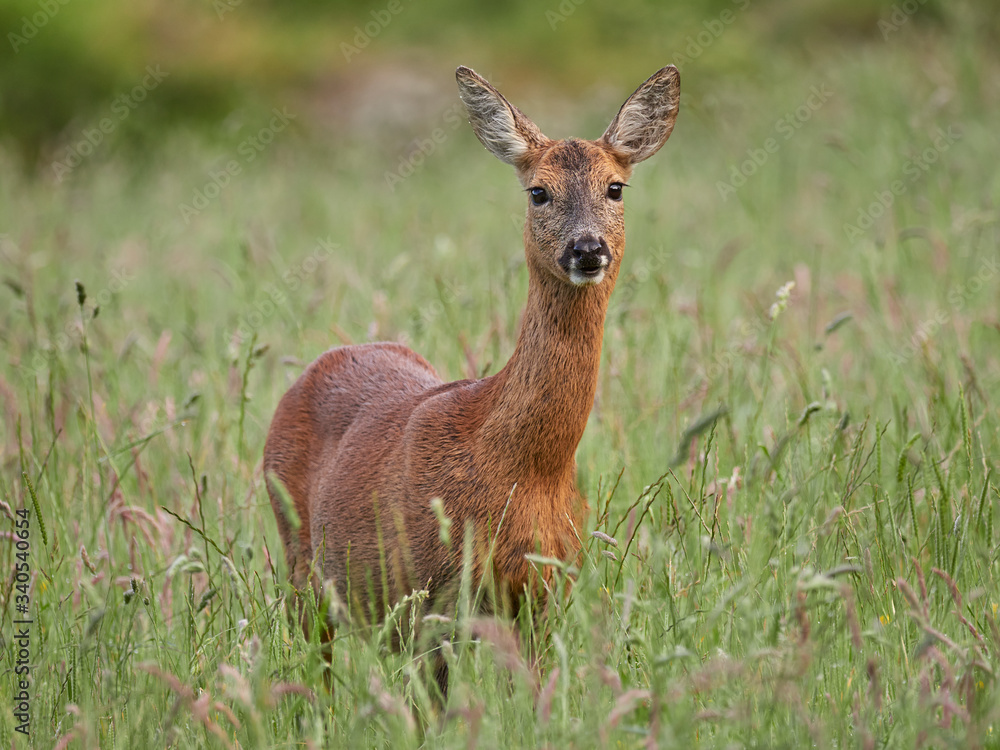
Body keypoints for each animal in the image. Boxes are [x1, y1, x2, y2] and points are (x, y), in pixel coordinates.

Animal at [263, 64, 680, 694]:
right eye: (538, 191)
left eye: (616, 187)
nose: (587, 248)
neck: (521, 469)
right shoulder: (421, 595)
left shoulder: (543, 593)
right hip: (301, 559)